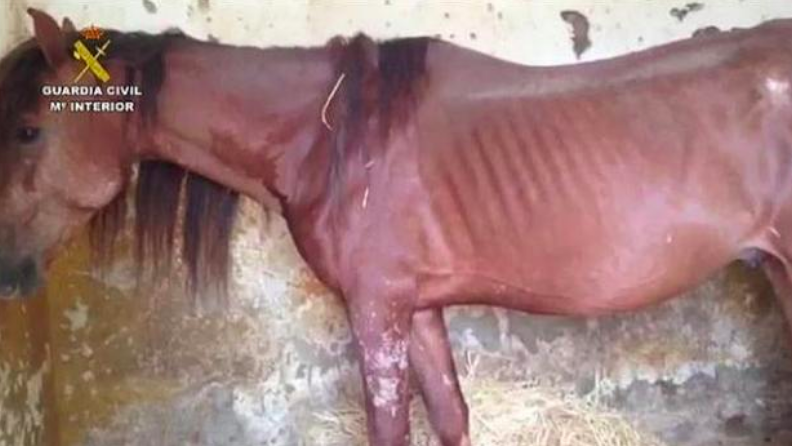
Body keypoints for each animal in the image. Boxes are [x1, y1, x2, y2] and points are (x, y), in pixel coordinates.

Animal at [2, 8, 792, 445]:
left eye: (30, 128)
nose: (9, 272)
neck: (328, 137)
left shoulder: (375, 310)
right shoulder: (417, 309)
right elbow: (449, 415)